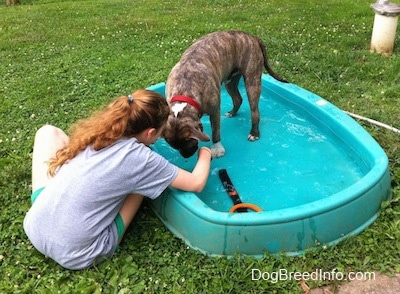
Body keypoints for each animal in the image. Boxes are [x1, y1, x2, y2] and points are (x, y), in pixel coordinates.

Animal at [162, 30, 288, 158]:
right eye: (175, 147)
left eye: (190, 141)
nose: (186, 155)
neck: (185, 91)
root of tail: (251, 36)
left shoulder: (215, 111)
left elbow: (215, 132)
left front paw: (217, 148)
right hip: (230, 82)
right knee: (238, 99)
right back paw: (232, 112)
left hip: (252, 81)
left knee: (254, 111)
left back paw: (254, 133)